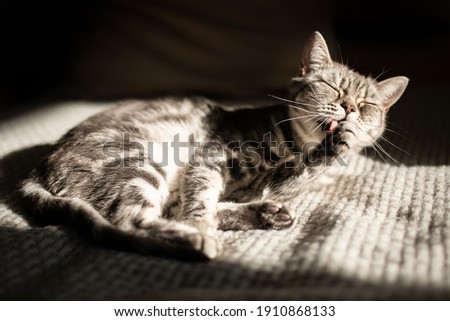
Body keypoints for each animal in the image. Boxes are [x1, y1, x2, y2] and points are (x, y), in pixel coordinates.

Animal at [20, 31, 408, 258]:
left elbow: (293, 176)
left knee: (166, 212)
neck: (295, 144)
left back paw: (265, 214)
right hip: (138, 164)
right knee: (128, 223)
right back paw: (195, 240)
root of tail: (37, 171)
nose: (349, 107)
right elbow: (202, 197)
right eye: (330, 86)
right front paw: (201, 226)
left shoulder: (264, 181)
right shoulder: (214, 156)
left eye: (368, 105)